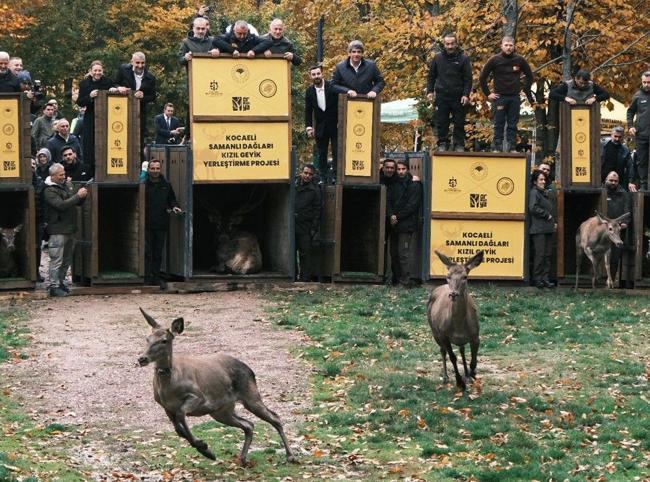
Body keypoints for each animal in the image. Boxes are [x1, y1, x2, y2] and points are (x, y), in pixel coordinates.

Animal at [137, 308, 295, 466]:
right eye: (147, 338)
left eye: (164, 340)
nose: (142, 358)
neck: (168, 389)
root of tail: (250, 370)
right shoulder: (166, 407)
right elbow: (178, 430)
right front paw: (206, 450)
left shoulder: (198, 397)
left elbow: (181, 414)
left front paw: (206, 449)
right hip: (221, 411)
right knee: (248, 424)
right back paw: (243, 459)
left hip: (250, 395)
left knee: (274, 417)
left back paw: (290, 456)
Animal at [427, 250, 484, 392]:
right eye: (448, 276)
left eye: (465, 277)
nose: (453, 294)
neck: (459, 326)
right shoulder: (444, 334)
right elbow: (452, 357)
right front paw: (460, 383)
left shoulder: (476, 334)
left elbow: (473, 361)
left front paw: (472, 376)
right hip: (435, 331)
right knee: (443, 350)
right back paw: (445, 377)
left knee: (462, 350)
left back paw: (467, 375)